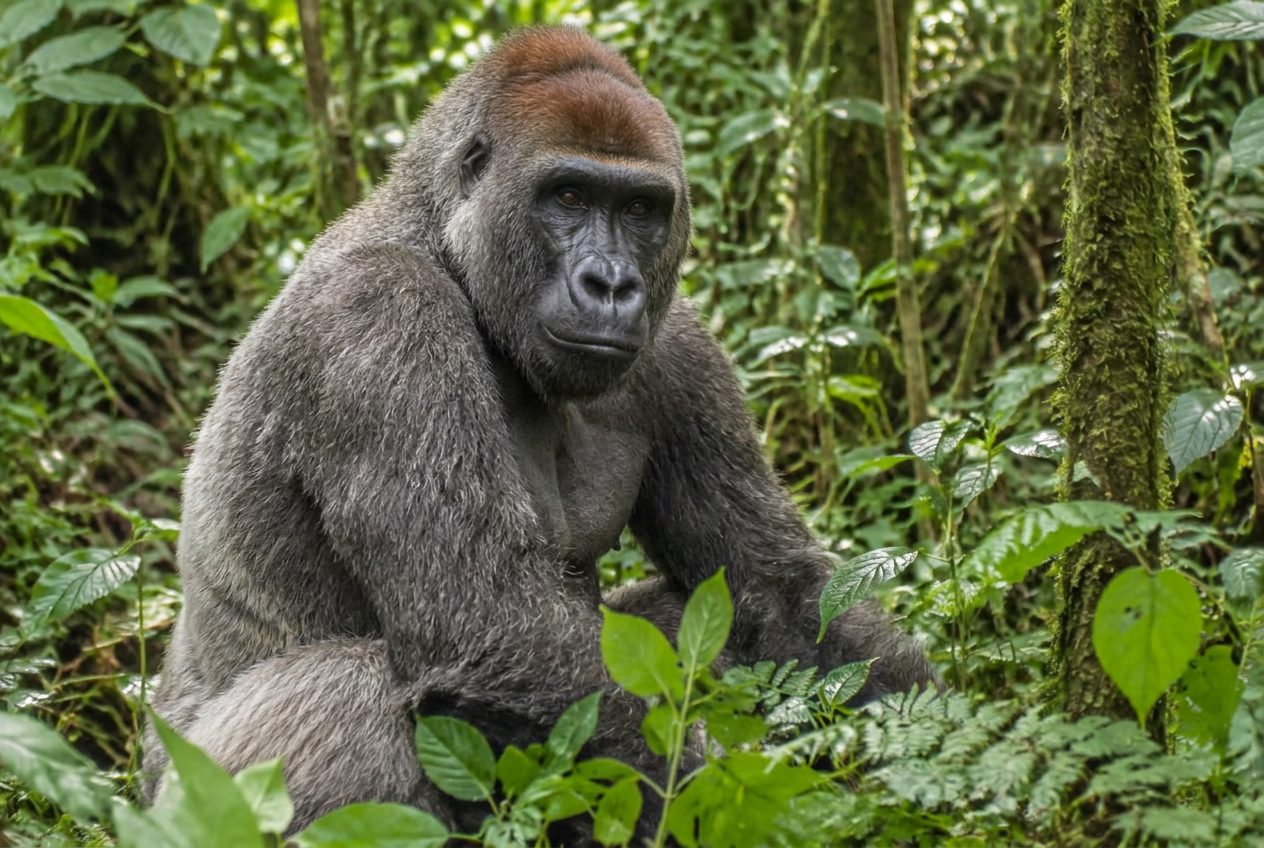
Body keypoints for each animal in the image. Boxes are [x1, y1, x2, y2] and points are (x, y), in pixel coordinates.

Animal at [142, 25, 937, 836]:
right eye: (569, 195)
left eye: (641, 209)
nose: (611, 284)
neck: (447, 250)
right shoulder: (377, 316)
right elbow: (487, 624)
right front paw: (740, 813)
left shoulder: (678, 343)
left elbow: (777, 589)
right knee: (351, 693)